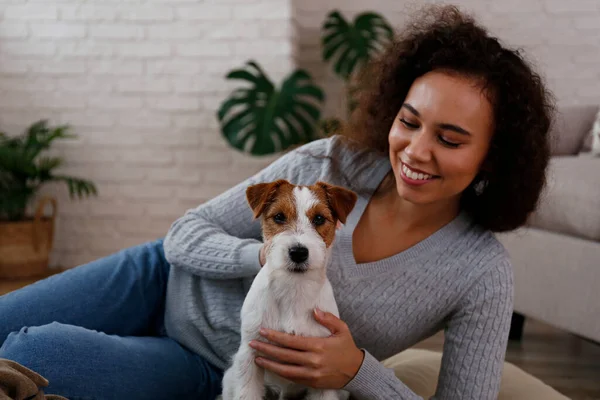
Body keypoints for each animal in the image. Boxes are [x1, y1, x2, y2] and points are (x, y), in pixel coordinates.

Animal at [223, 180, 358, 398]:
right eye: (279, 216)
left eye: (319, 218)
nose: (298, 252)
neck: (293, 288)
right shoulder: (249, 355)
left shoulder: (324, 374)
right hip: (230, 377)